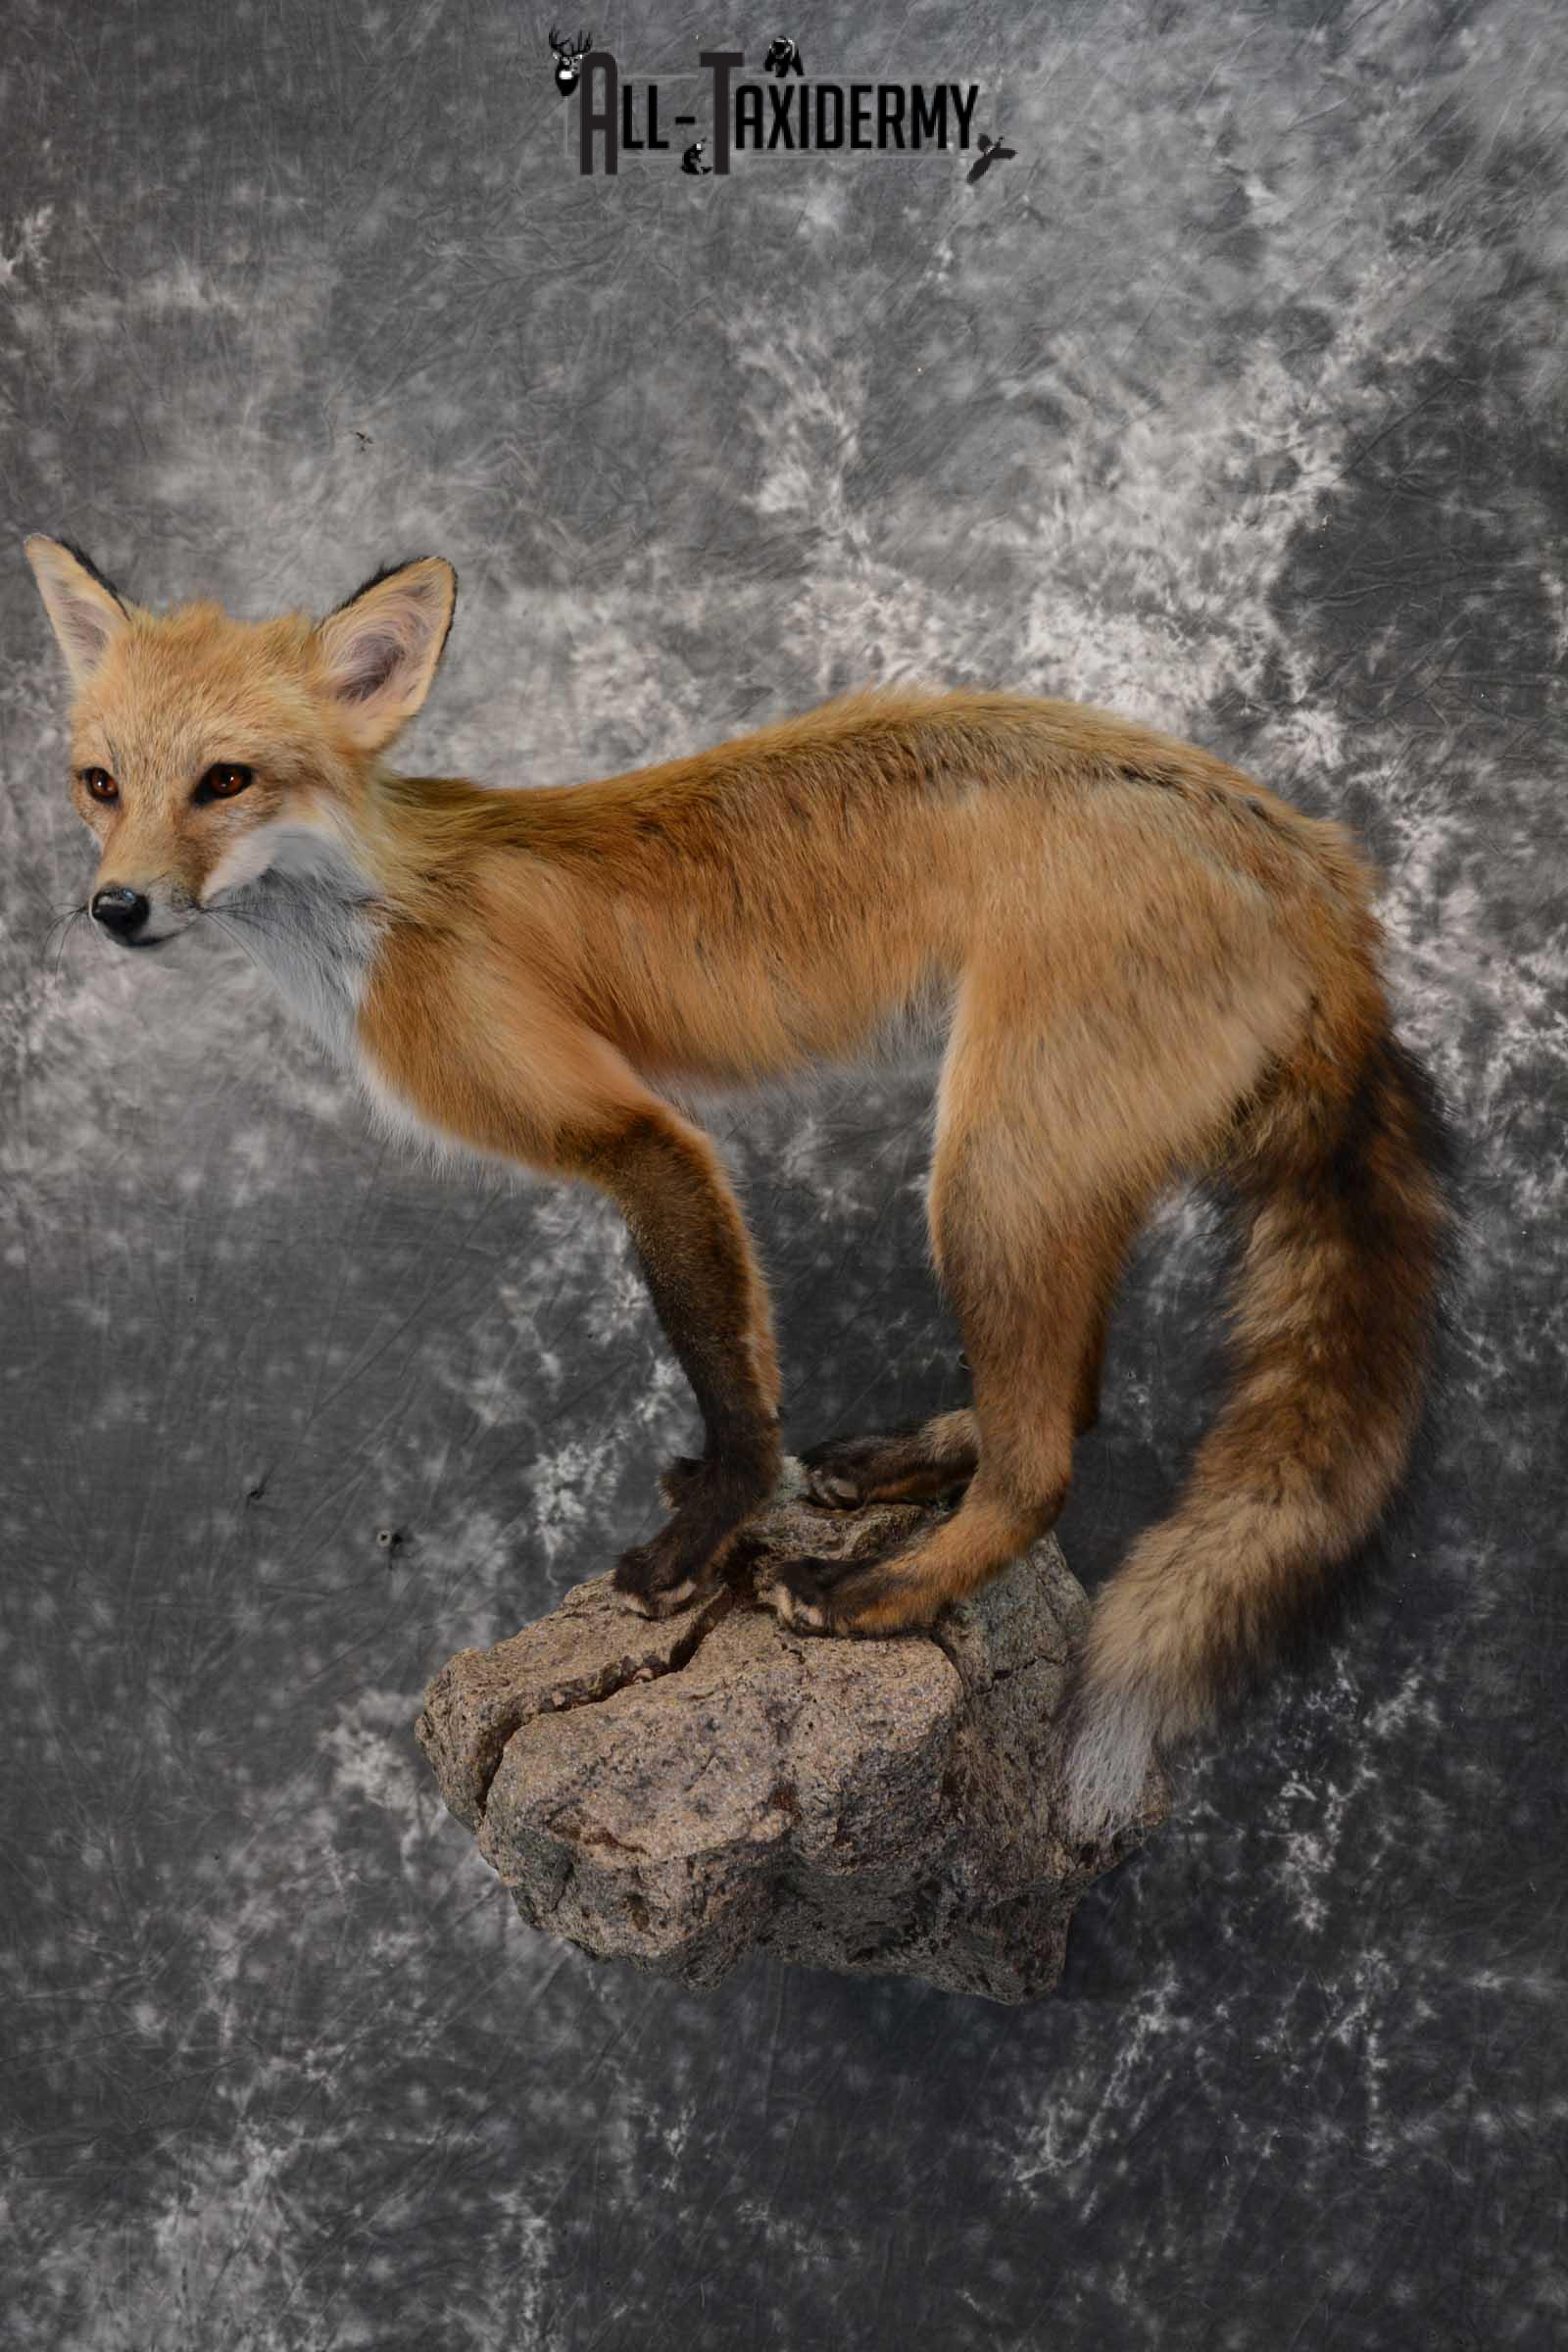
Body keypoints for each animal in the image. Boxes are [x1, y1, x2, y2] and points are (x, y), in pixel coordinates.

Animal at [25, 534, 1453, 1834]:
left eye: (224, 780)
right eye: (101, 785)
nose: (116, 908)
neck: (382, 910)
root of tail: (1322, 871)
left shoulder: (641, 1138)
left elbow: (725, 1364)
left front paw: (703, 1533)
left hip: (989, 1178)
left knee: (1050, 1461)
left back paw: (887, 1594)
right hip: (1044, 1177)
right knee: (1074, 1400)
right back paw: (918, 1460)